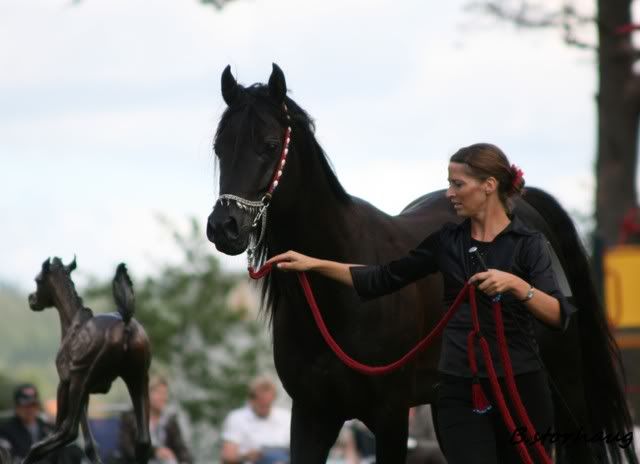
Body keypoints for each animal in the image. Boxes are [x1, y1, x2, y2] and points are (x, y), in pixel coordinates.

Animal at [208, 64, 636, 464]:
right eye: (219, 146)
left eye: (269, 144)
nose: (223, 227)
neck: (336, 303)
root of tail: (528, 204)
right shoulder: (312, 415)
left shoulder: (391, 416)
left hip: (562, 393)